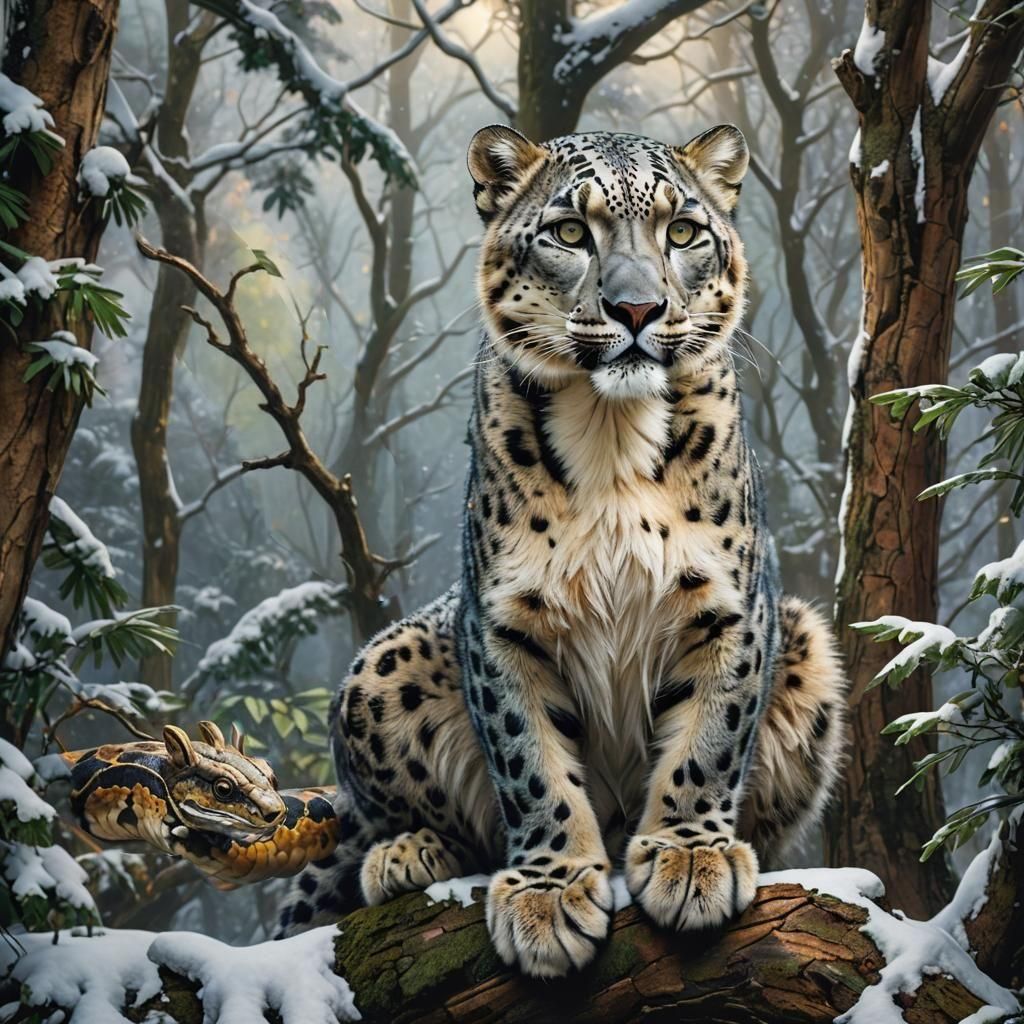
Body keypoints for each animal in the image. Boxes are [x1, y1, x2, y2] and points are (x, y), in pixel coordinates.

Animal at [277, 124, 847, 979]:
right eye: (571, 233)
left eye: (684, 232)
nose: (637, 307)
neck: (611, 437)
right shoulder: (503, 621)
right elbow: (529, 761)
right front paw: (548, 894)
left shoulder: (728, 608)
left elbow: (710, 737)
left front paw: (689, 857)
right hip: (382, 666)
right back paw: (408, 854)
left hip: (810, 648)